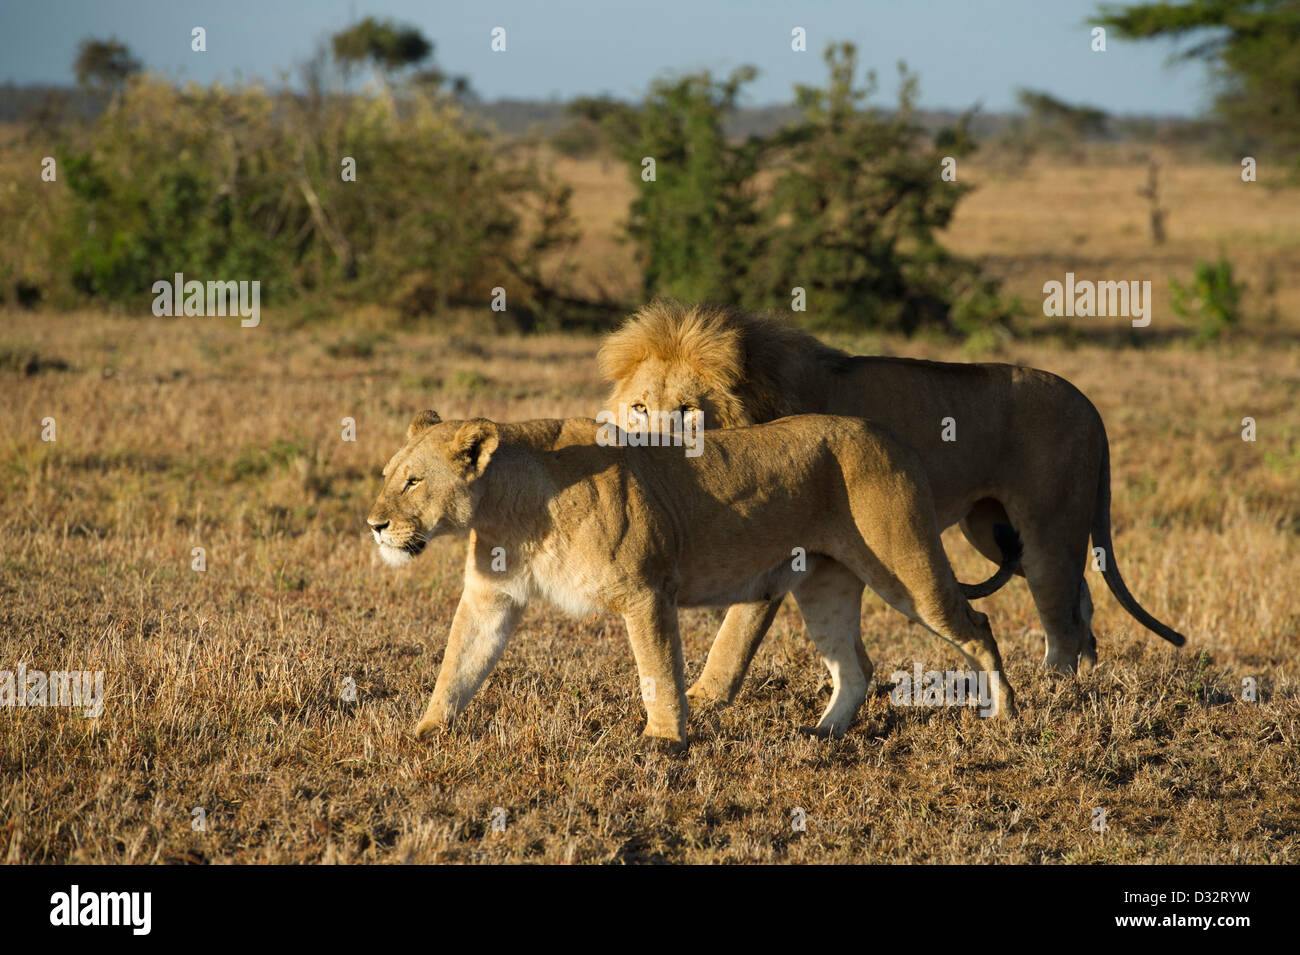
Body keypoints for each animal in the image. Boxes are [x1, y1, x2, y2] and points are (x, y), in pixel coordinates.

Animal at [367, 409, 1023, 745]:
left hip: (908, 571)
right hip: (825, 586)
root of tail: (894, 438)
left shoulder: (644, 591)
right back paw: (823, 735)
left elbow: (659, 673)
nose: (374, 525)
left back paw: (1006, 717)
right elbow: (459, 665)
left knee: (977, 626)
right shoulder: (491, 597)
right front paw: (425, 731)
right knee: (855, 667)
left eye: (413, 481)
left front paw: (664, 744)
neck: (511, 509)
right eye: (389, 475)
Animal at [598, 300, 1187, 710]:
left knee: (1059, 612)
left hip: (1046, 530)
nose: (648, 451)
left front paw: (701, 699)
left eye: (687, 412)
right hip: (991, 530)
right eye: (640, 407)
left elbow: (734, 635)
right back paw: (1084, 665)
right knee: (1077, 594)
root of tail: (1089, 404)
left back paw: (1055, 690)